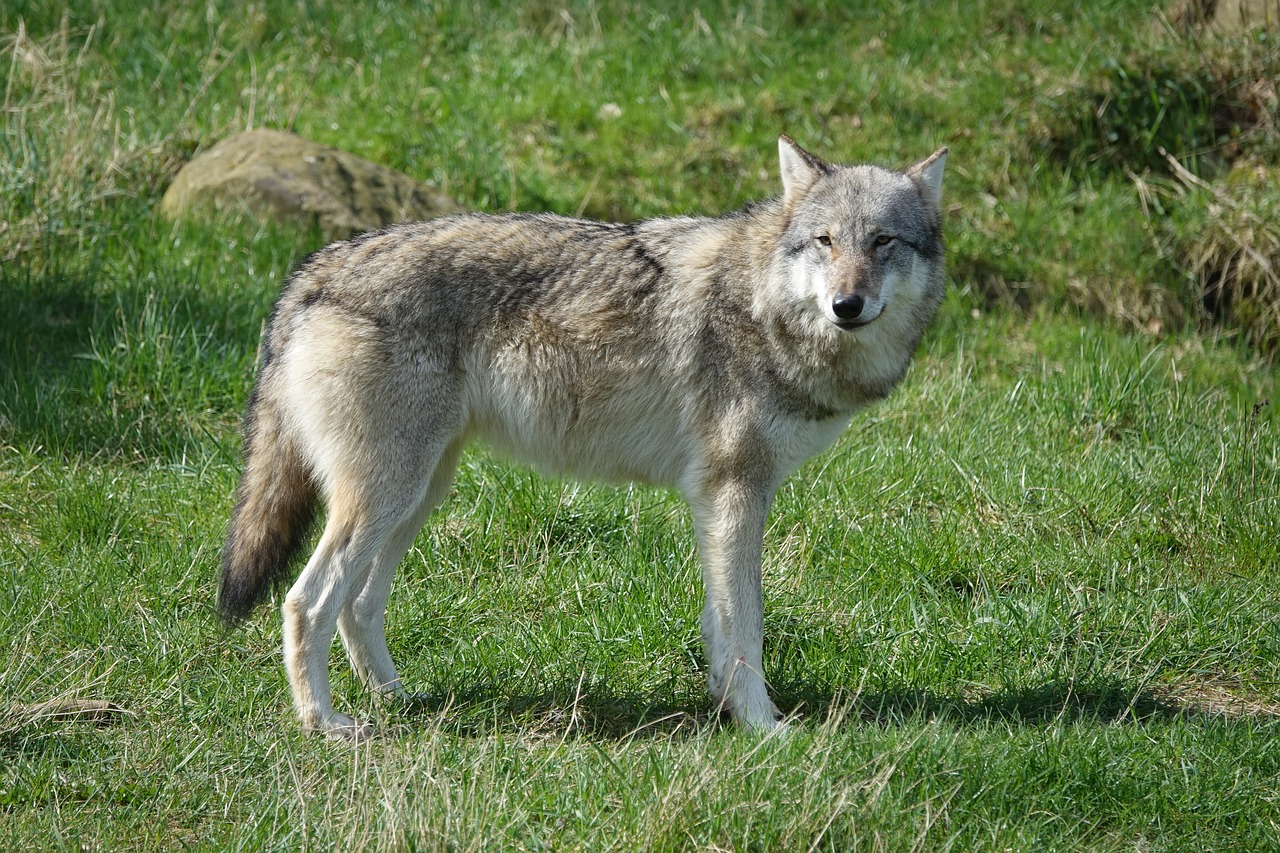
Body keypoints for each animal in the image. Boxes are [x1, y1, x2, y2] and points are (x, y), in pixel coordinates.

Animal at [215, 134, 947, 737]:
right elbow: (746, 624)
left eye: (883, 242)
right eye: (826, 241)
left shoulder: (719, 500)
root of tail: (315, 266)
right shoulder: (734, 490)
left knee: (357, 604)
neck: (763, 304)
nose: (846, 305)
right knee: (307, 602)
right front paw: (763, 727)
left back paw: (400, 700)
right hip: (387, 496)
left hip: (417, 494)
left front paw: (726, 708)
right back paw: (325, 723)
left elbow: (720, 622)